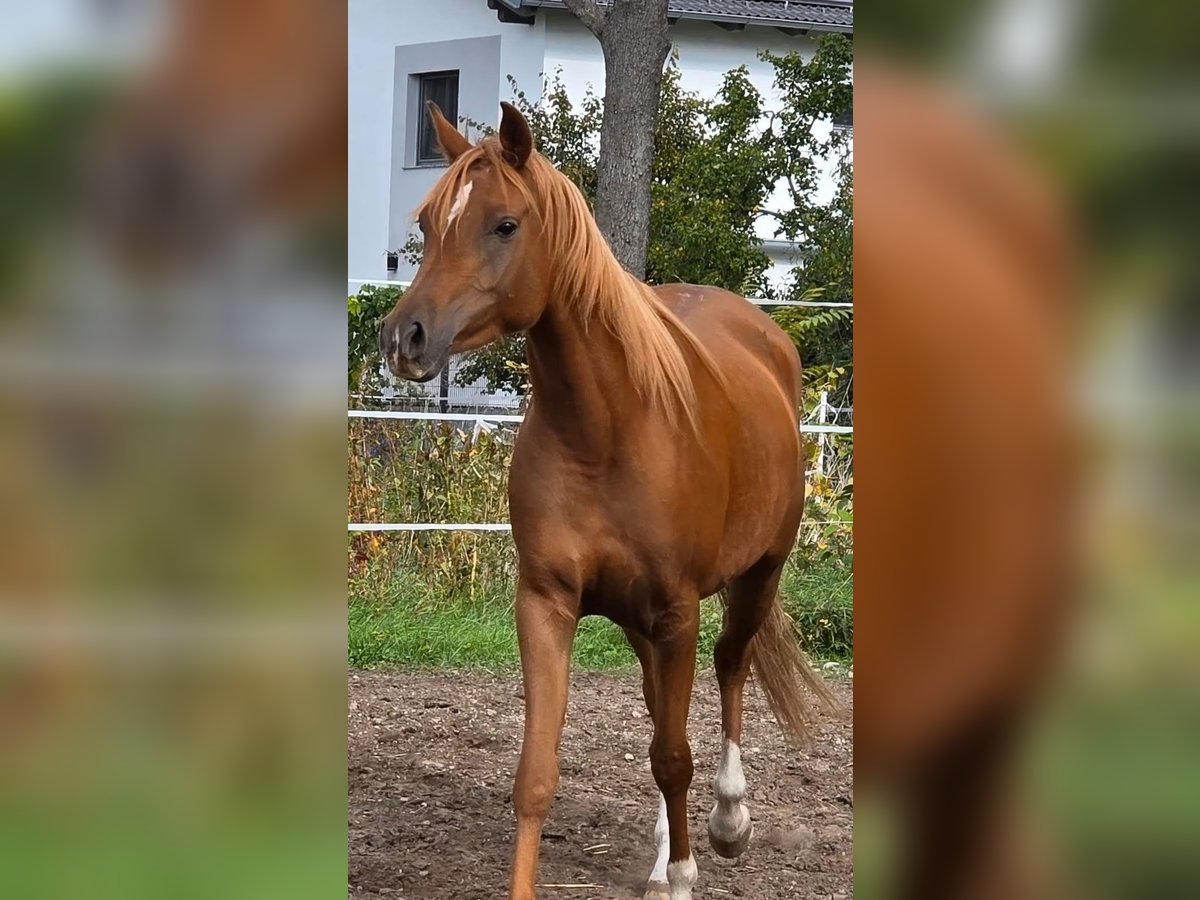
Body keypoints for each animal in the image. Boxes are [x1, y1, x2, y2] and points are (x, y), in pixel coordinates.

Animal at [380, 102, 833, 900]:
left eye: (504, 224)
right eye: (429, 222)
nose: (406, 337)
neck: (607, 431)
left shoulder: (678, 610)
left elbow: (676, 756)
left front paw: (684, 872)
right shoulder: (547, 602)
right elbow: (539, 775)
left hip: (757, 575)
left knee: (729, 667)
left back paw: (726, 822)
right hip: (642, 620)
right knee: (661, 713)